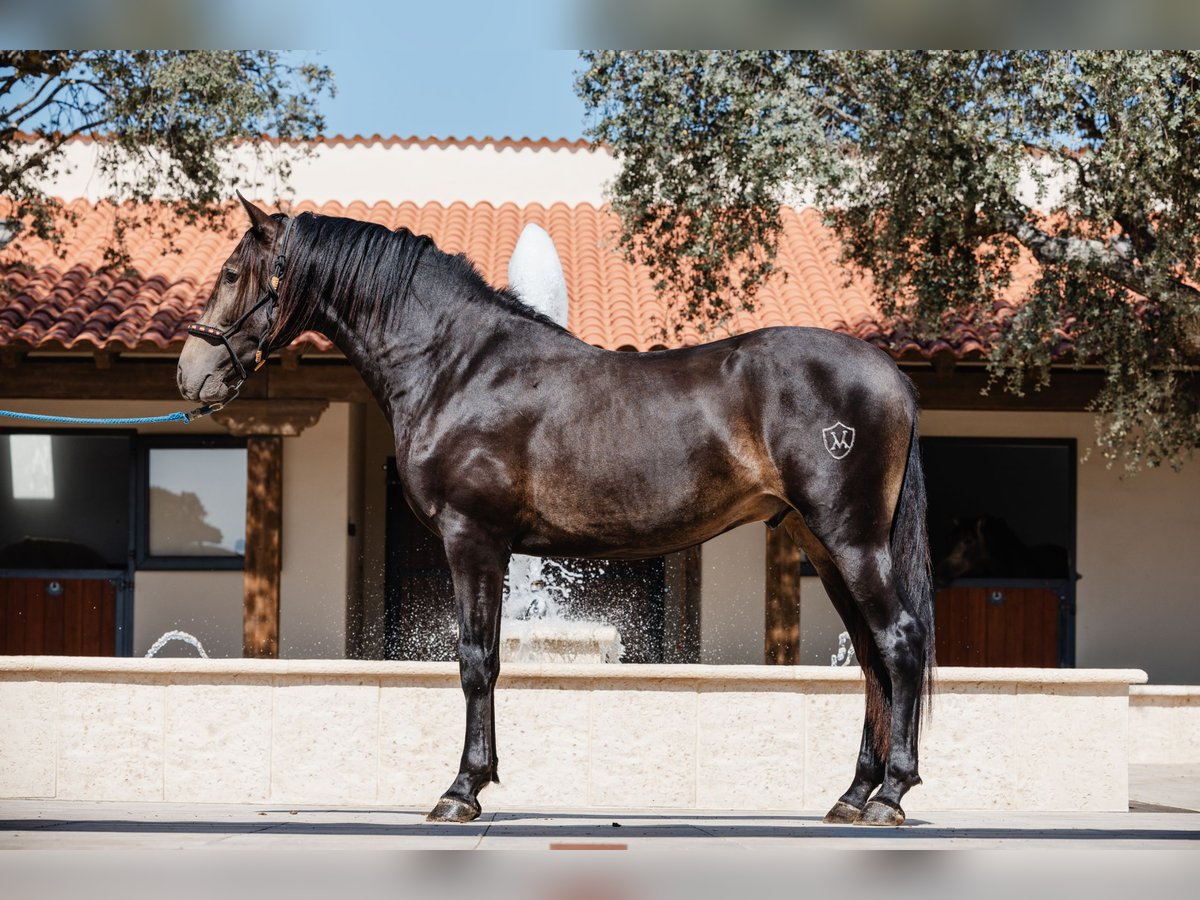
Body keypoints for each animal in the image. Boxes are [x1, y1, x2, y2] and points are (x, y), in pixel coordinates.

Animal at [177, 196, 936, 830]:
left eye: (233, 272)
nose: (191, 375)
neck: (456, 365)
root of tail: (890, 374)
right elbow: (485, 659)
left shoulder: (473, 540)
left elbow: (476, 660)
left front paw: (462, 791)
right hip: (823, 546)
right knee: (872, 657)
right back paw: (852, 795)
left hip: (853, 541)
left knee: (898, 641)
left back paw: (891, 795)